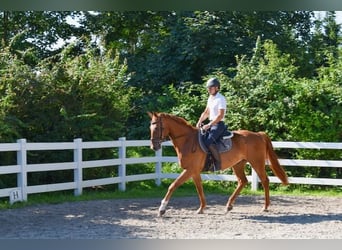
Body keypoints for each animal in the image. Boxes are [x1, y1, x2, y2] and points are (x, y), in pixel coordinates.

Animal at [148, 112, 288, 217]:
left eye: (157, 128)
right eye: (150, 128)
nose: (154, 147)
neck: (187, 140)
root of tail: (258, 134)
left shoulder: (190, 170)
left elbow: (173, 185)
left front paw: (161, 209)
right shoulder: (194, 171)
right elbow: (199, 189)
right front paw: (201, 208)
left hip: (256, 163)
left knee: (265, 180)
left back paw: (265, 207)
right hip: (238, 164)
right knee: (242, 181)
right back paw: (229, 205)